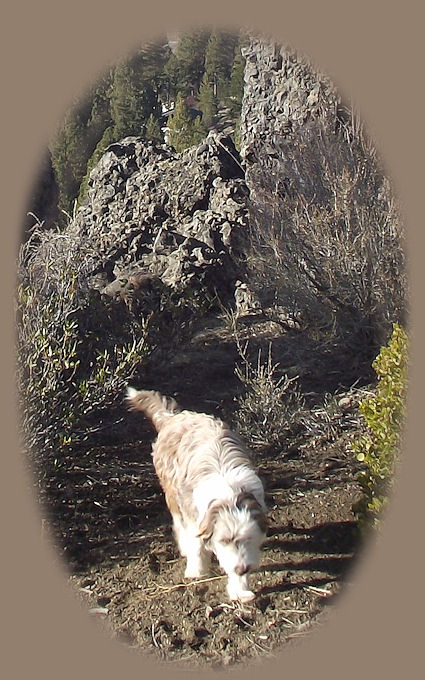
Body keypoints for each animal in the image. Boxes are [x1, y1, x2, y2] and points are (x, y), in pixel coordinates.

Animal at [124, 388, 266, 600]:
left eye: (248, 538)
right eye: (224, 540)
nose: (242, 569)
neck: (229, 494)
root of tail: (173, 417)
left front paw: (241, 589)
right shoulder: (194, 516)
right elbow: (197, 544)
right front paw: (196, 571)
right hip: (171, 491)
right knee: (178, 521)